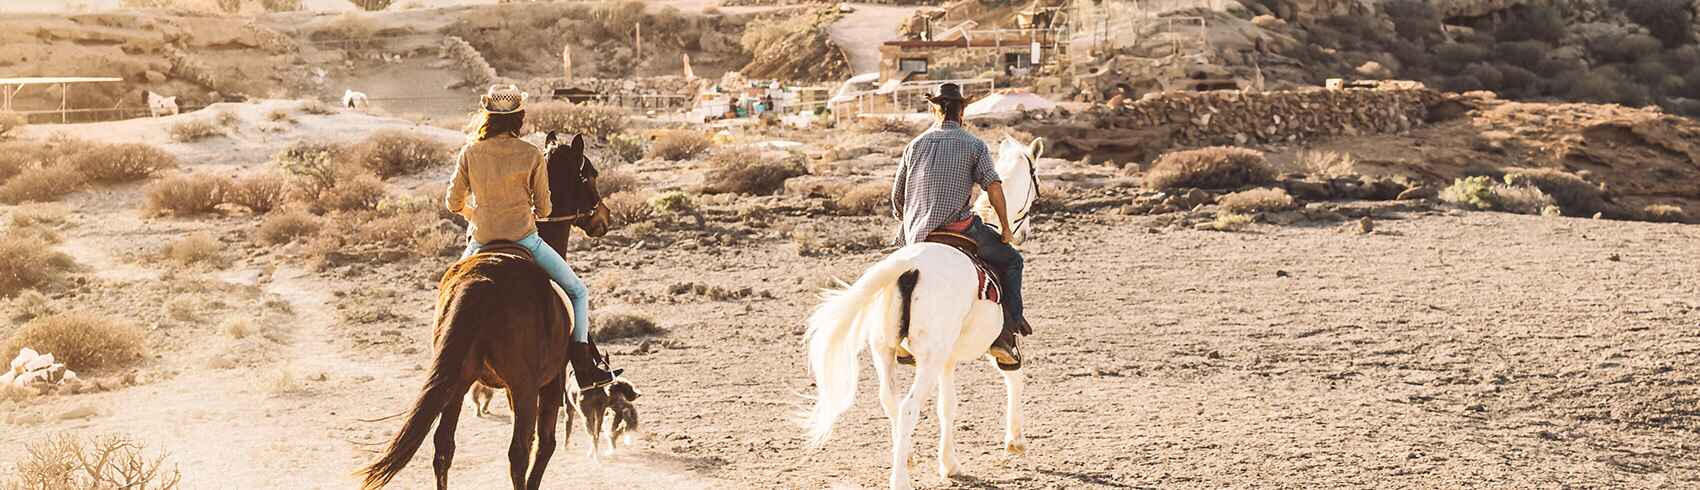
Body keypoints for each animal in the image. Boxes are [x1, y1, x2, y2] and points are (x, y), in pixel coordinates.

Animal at [358, 245, 574, 490]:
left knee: (443, 446)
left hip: (457, 384)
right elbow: (545, 443)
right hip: (524, 388)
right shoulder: (551, 380)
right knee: (520, 452)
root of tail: (481, 281)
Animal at [802, 135, 1044, 490]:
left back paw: (907, 456)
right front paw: (1015, 441)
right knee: (908, 407)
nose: (1021, 233)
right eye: (1035, 180)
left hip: (886, 351)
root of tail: (909, 266)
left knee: (889, 401)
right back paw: (900, 478)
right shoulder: (999, 346)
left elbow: (948, 406)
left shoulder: (948, 359)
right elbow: (1013, 378)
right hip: (927, 359)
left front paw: (949, 464)